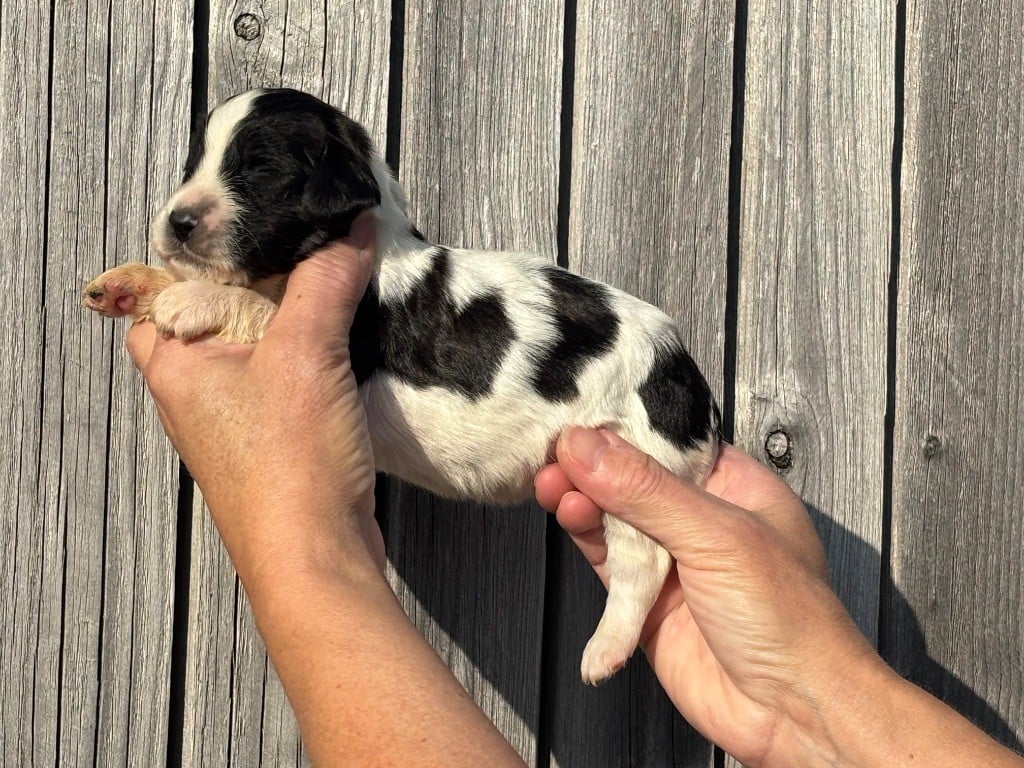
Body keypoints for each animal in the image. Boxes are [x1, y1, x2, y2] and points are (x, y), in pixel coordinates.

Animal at [83, 90, 720, 684]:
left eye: (260, 170)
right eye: (195, 162)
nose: (177, 221)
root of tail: (694, 384)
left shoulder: (345, 334)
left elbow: (255, 307)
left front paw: (186, 299)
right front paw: (127, 284)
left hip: (637, 453)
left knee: (642, 563)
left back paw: (602, 654)